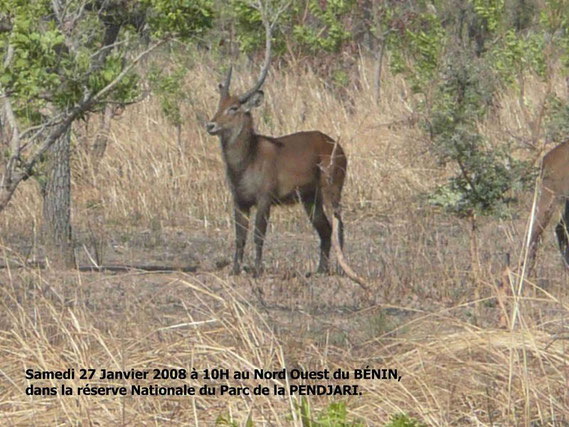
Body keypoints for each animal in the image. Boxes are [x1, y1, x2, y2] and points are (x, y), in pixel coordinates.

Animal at [204, 22, 364, 290]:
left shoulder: (264, 198)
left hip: (332, 188)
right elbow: (239, 237)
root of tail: (339, 146)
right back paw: (320, 270)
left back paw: (342, 271)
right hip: (309, 198)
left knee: (339, 226)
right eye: (218, 104)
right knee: (324, 229)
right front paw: (235, 271)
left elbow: (258, 235)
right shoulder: (239, 200)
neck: (246, 162)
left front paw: (257, 271)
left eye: (234, 107)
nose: (210, 125)